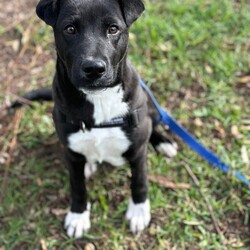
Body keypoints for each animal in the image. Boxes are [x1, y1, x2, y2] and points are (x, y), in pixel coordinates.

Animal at [33, 0, 178, 238]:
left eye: (113, 29)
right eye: (70, 29)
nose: (93, 69)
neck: (99, 100)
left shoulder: (138, 150)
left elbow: (139, 181)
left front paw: (138, 211)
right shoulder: (70, 152)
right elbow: (77, 186)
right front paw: (78, 216)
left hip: (151, 108)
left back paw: (163, 142)